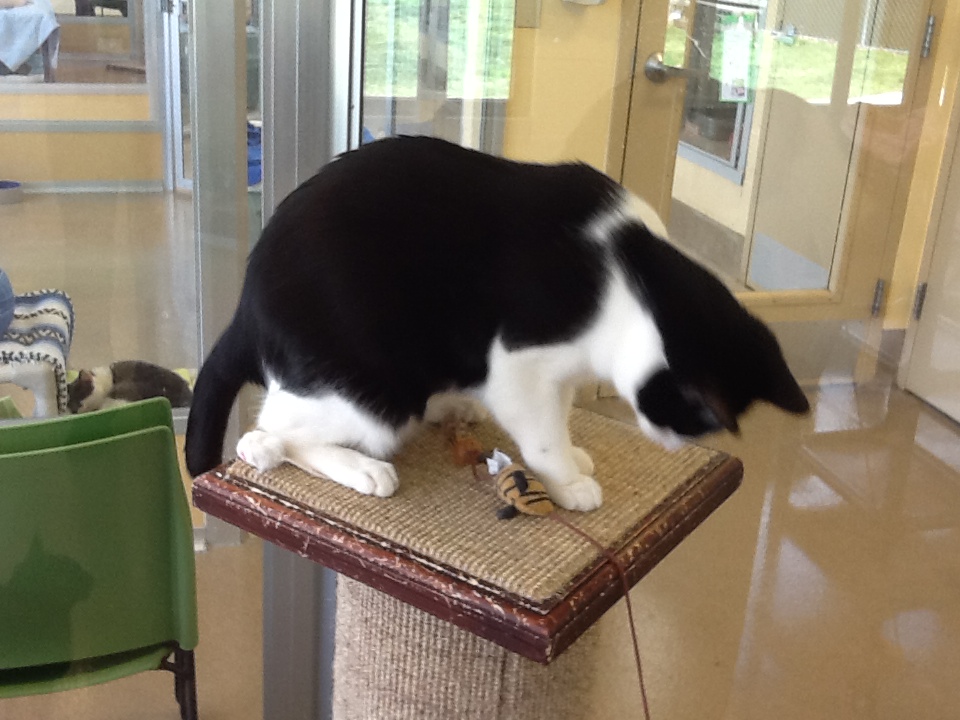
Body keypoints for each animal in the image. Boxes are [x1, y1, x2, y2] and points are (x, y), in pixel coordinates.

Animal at [184, 135, 808, 512]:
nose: (672, 443)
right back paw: (355, 468)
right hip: (376, 391)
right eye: (693, 419)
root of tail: (247, 303)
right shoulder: (519, 362)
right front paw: (568, 480)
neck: (632, 270)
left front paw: (573, 454)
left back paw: (448, 408)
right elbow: (542, 433)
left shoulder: (559, 370)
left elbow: (560, 417)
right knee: (269, 431)